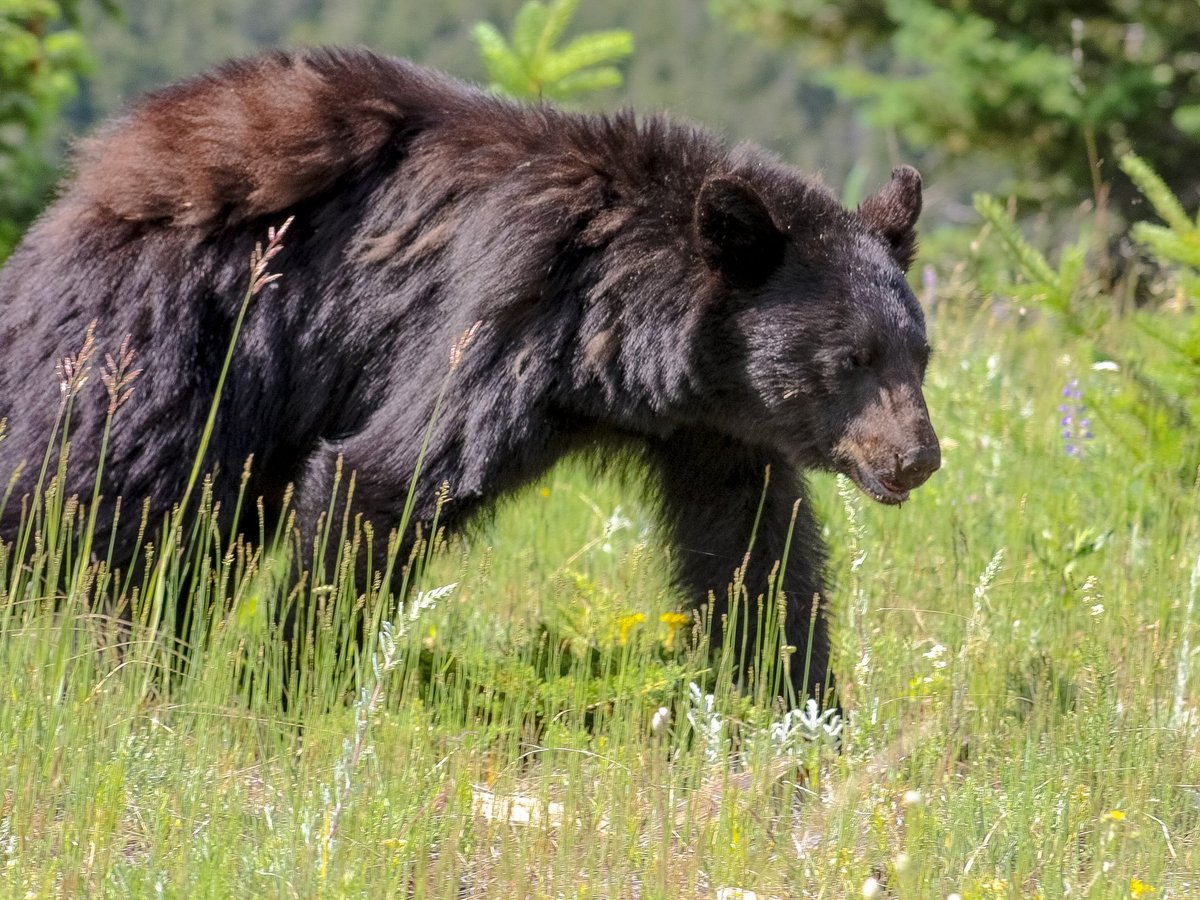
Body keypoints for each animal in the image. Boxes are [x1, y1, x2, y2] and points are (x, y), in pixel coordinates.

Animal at [0, 47, 936, 705]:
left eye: (918, 354)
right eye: (848, 360)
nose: (916, 458)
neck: (622, 343)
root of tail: (79, 193)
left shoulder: (716, 430)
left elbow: (756, 557)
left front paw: (799, 710)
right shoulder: (505, 319)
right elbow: (383, 479)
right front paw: (288, 688)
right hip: (159, 345)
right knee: (106, 506)